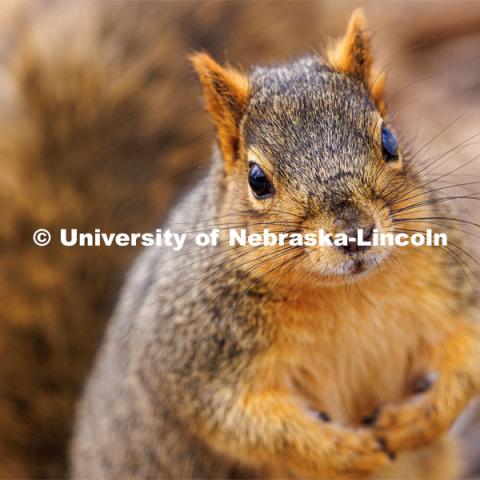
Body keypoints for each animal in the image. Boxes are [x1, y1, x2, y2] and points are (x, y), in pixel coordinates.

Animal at [68, 7, 480, 480]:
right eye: (257, 179)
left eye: (389, 140)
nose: (354, 232)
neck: (346, 294)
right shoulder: (203, 358)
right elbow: (245, 422)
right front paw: (342, 450)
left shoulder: (447, 283)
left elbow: (468, 353)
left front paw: (419, 418)